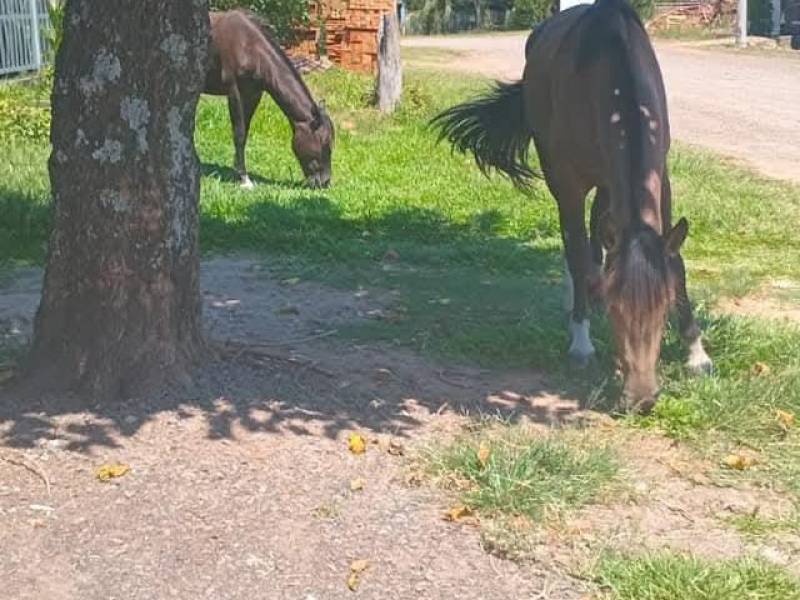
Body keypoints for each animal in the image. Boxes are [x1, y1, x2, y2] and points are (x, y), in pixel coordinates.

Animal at [206, 9, 334, 188]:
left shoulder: (253, 95)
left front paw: (237, 171)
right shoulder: (235, 92)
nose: (325, 182)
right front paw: (244, 179)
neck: (250, 47)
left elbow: (245, 133)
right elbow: (239, 133)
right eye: (324, 143)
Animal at [432, 0, 712, 412]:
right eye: (615, 310)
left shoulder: (659, 175)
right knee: (578, 243)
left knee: (601, 228)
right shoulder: (568, 182)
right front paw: (581, 340)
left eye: (663, 308)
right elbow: (577, 251)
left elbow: (674, 262)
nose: (641, 398)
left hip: (608, 182)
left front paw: (696, 353)